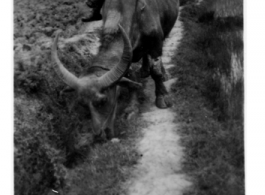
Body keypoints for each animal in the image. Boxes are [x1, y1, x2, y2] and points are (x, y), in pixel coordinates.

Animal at [51, 0, 178, 139]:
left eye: (103, 100)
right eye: (82, 104)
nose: (100, 134)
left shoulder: (155, 44)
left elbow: (155, 71)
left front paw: (162, 97)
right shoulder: (127, 54)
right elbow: (130, 77)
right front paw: (131, 107)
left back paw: (163, 74)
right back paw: (144, 70)